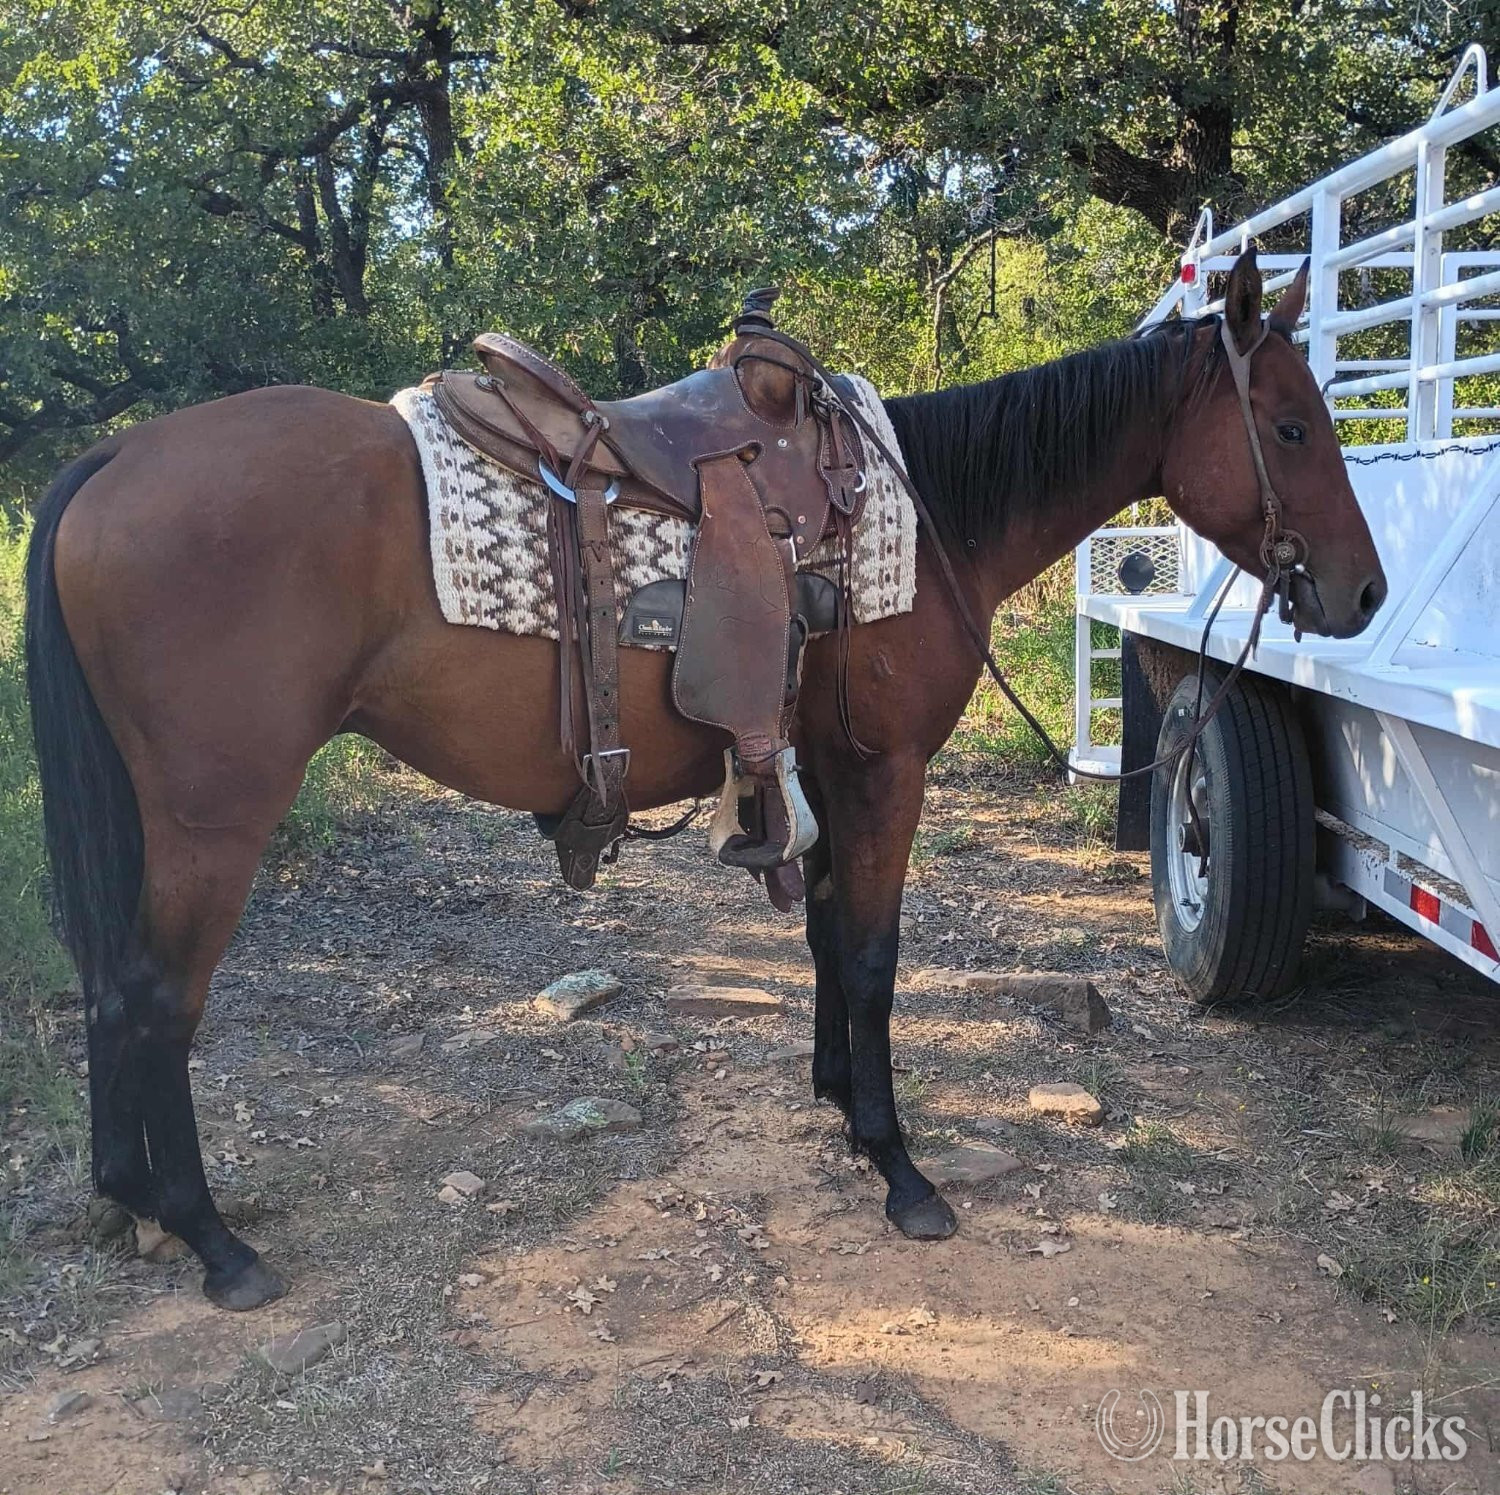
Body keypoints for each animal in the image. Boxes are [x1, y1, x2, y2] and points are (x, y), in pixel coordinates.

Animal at [24, 249, 1385, 1311]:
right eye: (1292, 426)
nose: (1362, 592)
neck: (927, 509)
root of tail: (113, 457)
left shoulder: (828, 768)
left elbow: (831, 938)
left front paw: (839, 1102)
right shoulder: (886, 771)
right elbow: (875, 955)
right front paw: (899, 1167)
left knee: (111, 990)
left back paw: (127, 1197)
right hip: (215, 815)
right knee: (157, 997)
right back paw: (212, 1238)